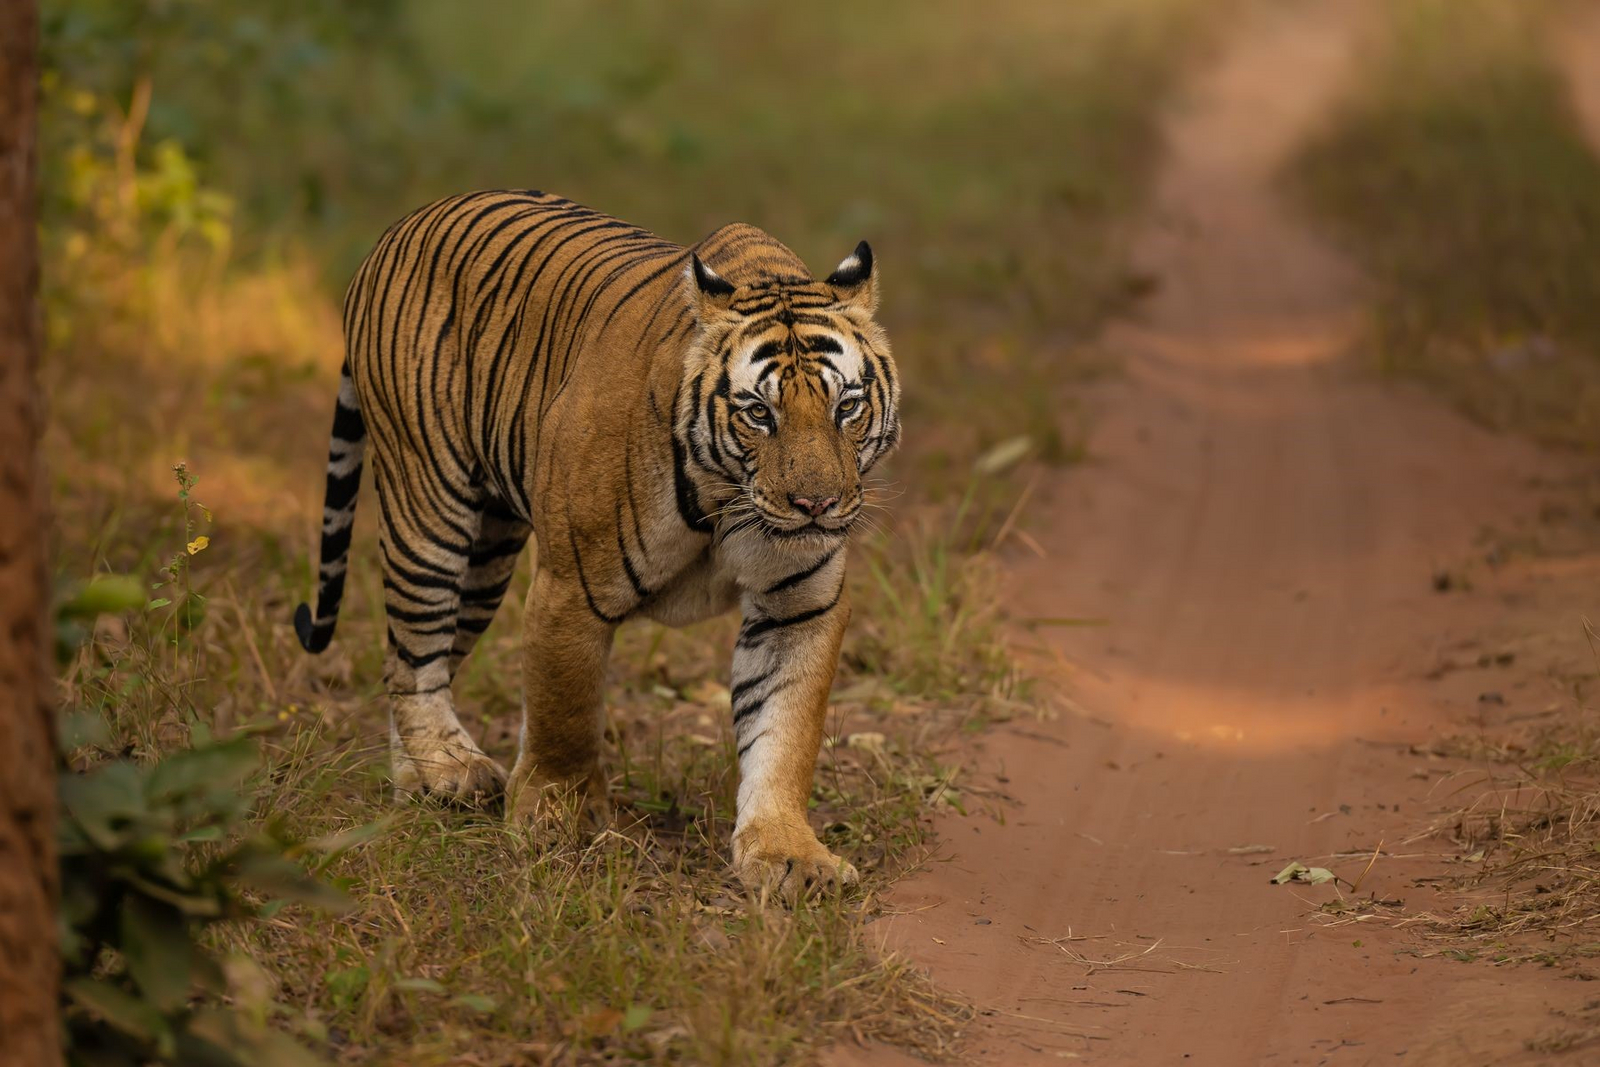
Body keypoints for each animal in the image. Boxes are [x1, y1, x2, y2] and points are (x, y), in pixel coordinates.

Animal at [294, 190, 899, 894]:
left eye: (846, 407)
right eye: (758, 413)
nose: (815, 505)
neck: (728, 499)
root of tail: (404, 223)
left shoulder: (798, 605)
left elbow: (784, 730)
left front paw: (788, 855)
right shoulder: (571, 589)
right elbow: (565, 710)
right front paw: (557, 823)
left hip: (487, 557)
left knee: (409, 658)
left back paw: (420, 787)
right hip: (429, 508)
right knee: (414, 654)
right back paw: (453, 771)